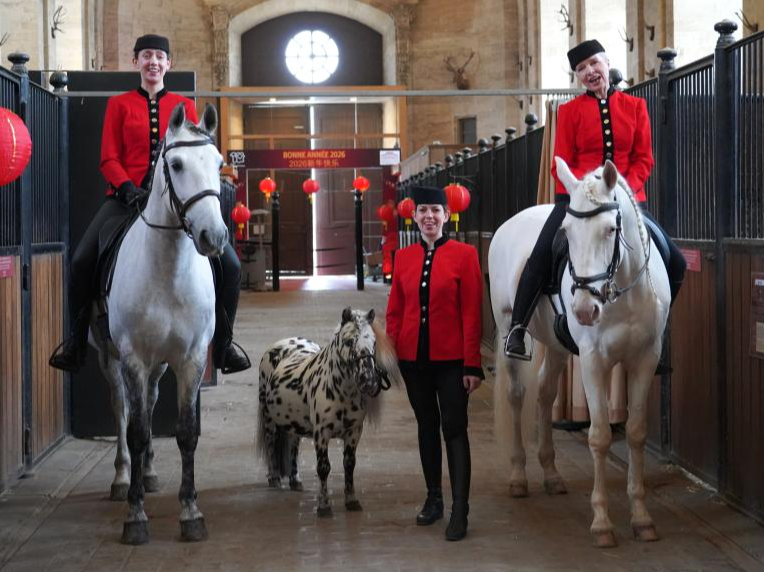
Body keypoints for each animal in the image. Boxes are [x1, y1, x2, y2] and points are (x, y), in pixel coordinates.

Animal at [92, 102, 227, 545]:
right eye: (177, 164)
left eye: (219, 163)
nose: (214, 236)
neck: (168, 268)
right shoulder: (133, 357)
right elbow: (136, 430)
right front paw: (135, 518)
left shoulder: (191, 359)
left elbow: (185, 433)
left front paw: (191, 513)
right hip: (111, 356)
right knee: (122, 408)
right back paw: (122, 479)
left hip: (160, 362)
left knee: (148, 403)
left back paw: (147, 472)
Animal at [255, 308, 400, 517]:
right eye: (349, 341)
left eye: (374, 342)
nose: (369, 381)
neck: (341, 390)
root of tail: (281, 344)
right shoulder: (321, 434)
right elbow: (323, 468)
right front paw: (324, 506)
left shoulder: (353, 433)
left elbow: (349, 465)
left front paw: (352, 501)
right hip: (268, 418)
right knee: (271, 443)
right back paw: (274, 478)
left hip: (294, 423)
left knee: (293, 446)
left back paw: (295, 481)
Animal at [488, 158, 670, 548]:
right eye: (567, 233)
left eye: (610, 229)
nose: (585, 310)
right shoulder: (593, 361)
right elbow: (599, 436)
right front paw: (602, 523)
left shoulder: (645, 359)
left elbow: (635, 432)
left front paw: (642, 518)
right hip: (509, 327)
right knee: (517, 395)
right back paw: (518, 476)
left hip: (557, 347)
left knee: (545, 393)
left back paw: (551, 474)